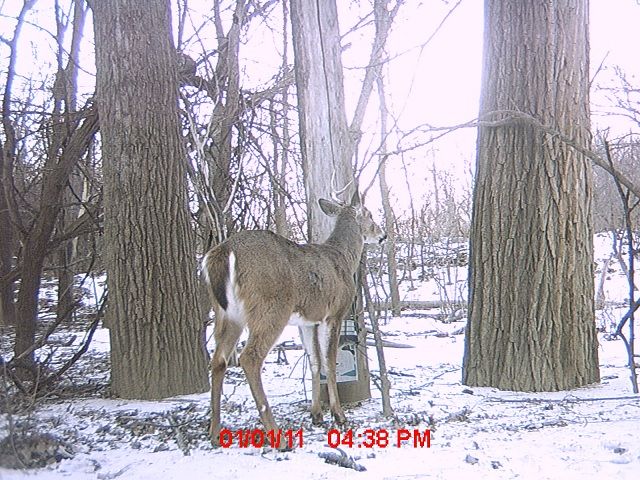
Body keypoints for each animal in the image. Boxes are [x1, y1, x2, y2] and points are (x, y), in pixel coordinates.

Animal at [204, 190, 384, 446]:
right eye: (368, 214)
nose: (382, 235)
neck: (343, 259)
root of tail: (224, 252)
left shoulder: (307, 321)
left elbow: (314, 360)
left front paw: (316, 415)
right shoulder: (334, 313)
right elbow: (329, 362)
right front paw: (339, 415)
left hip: (227, 313)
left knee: (218, 359)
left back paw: (215, 432)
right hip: (270, 307)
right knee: (249, 357)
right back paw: (277, 437)